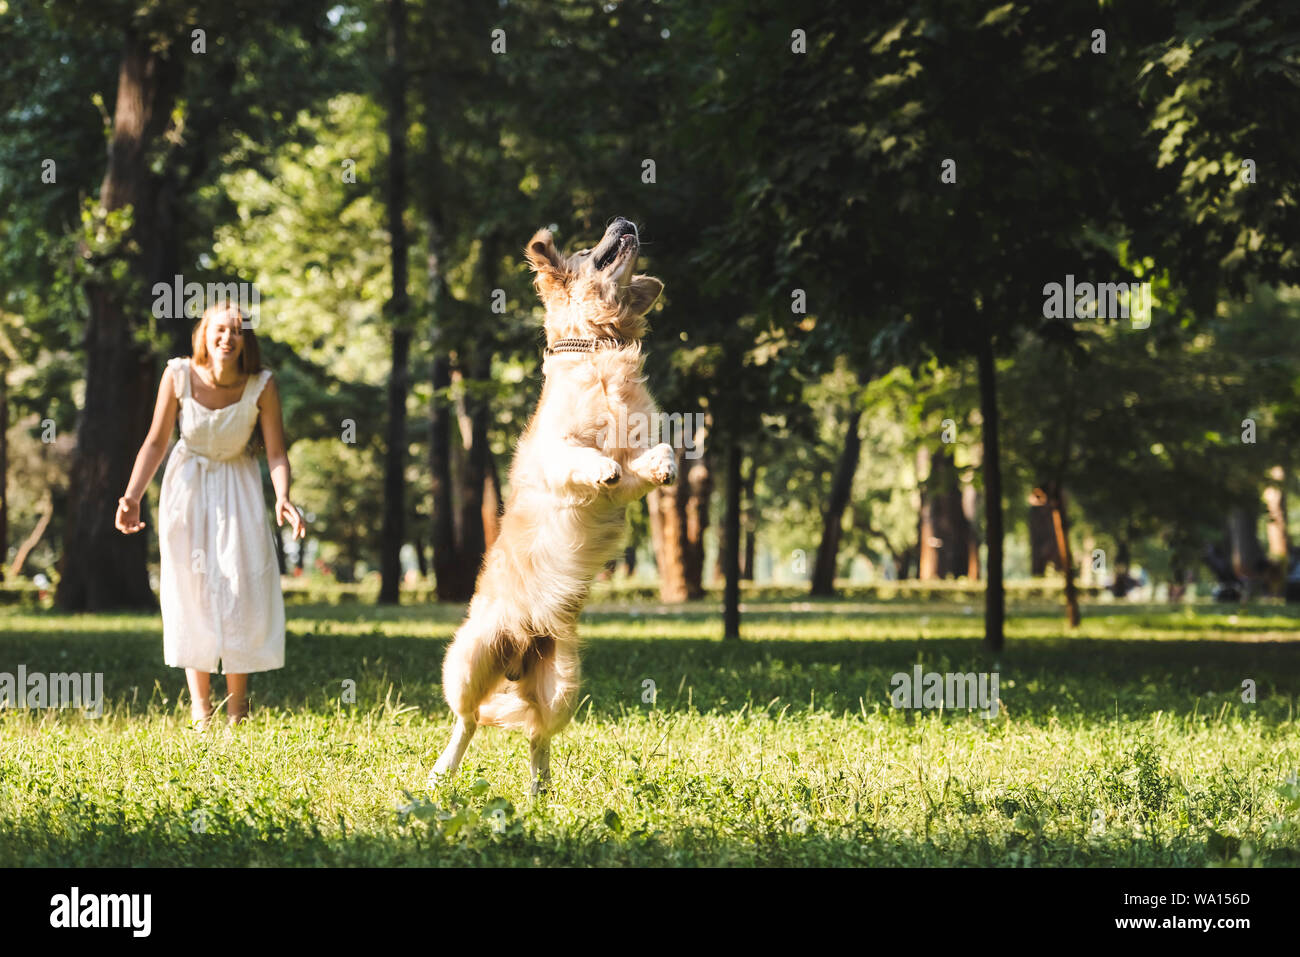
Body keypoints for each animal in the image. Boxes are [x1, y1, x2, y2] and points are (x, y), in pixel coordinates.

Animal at [431, 217, 676, 790]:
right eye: (587, 249)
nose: (625, 221)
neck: (600, 348)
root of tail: (518, 653)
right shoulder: (555, 455)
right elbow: (583, 458)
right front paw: (601, 467)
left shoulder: (637, 464)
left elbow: (654, 456)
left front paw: (663, 467)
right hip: (468, 659)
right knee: (467, 720)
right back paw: (441, 772)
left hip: (563, 684)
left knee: (537, 734)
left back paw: (541, 791)